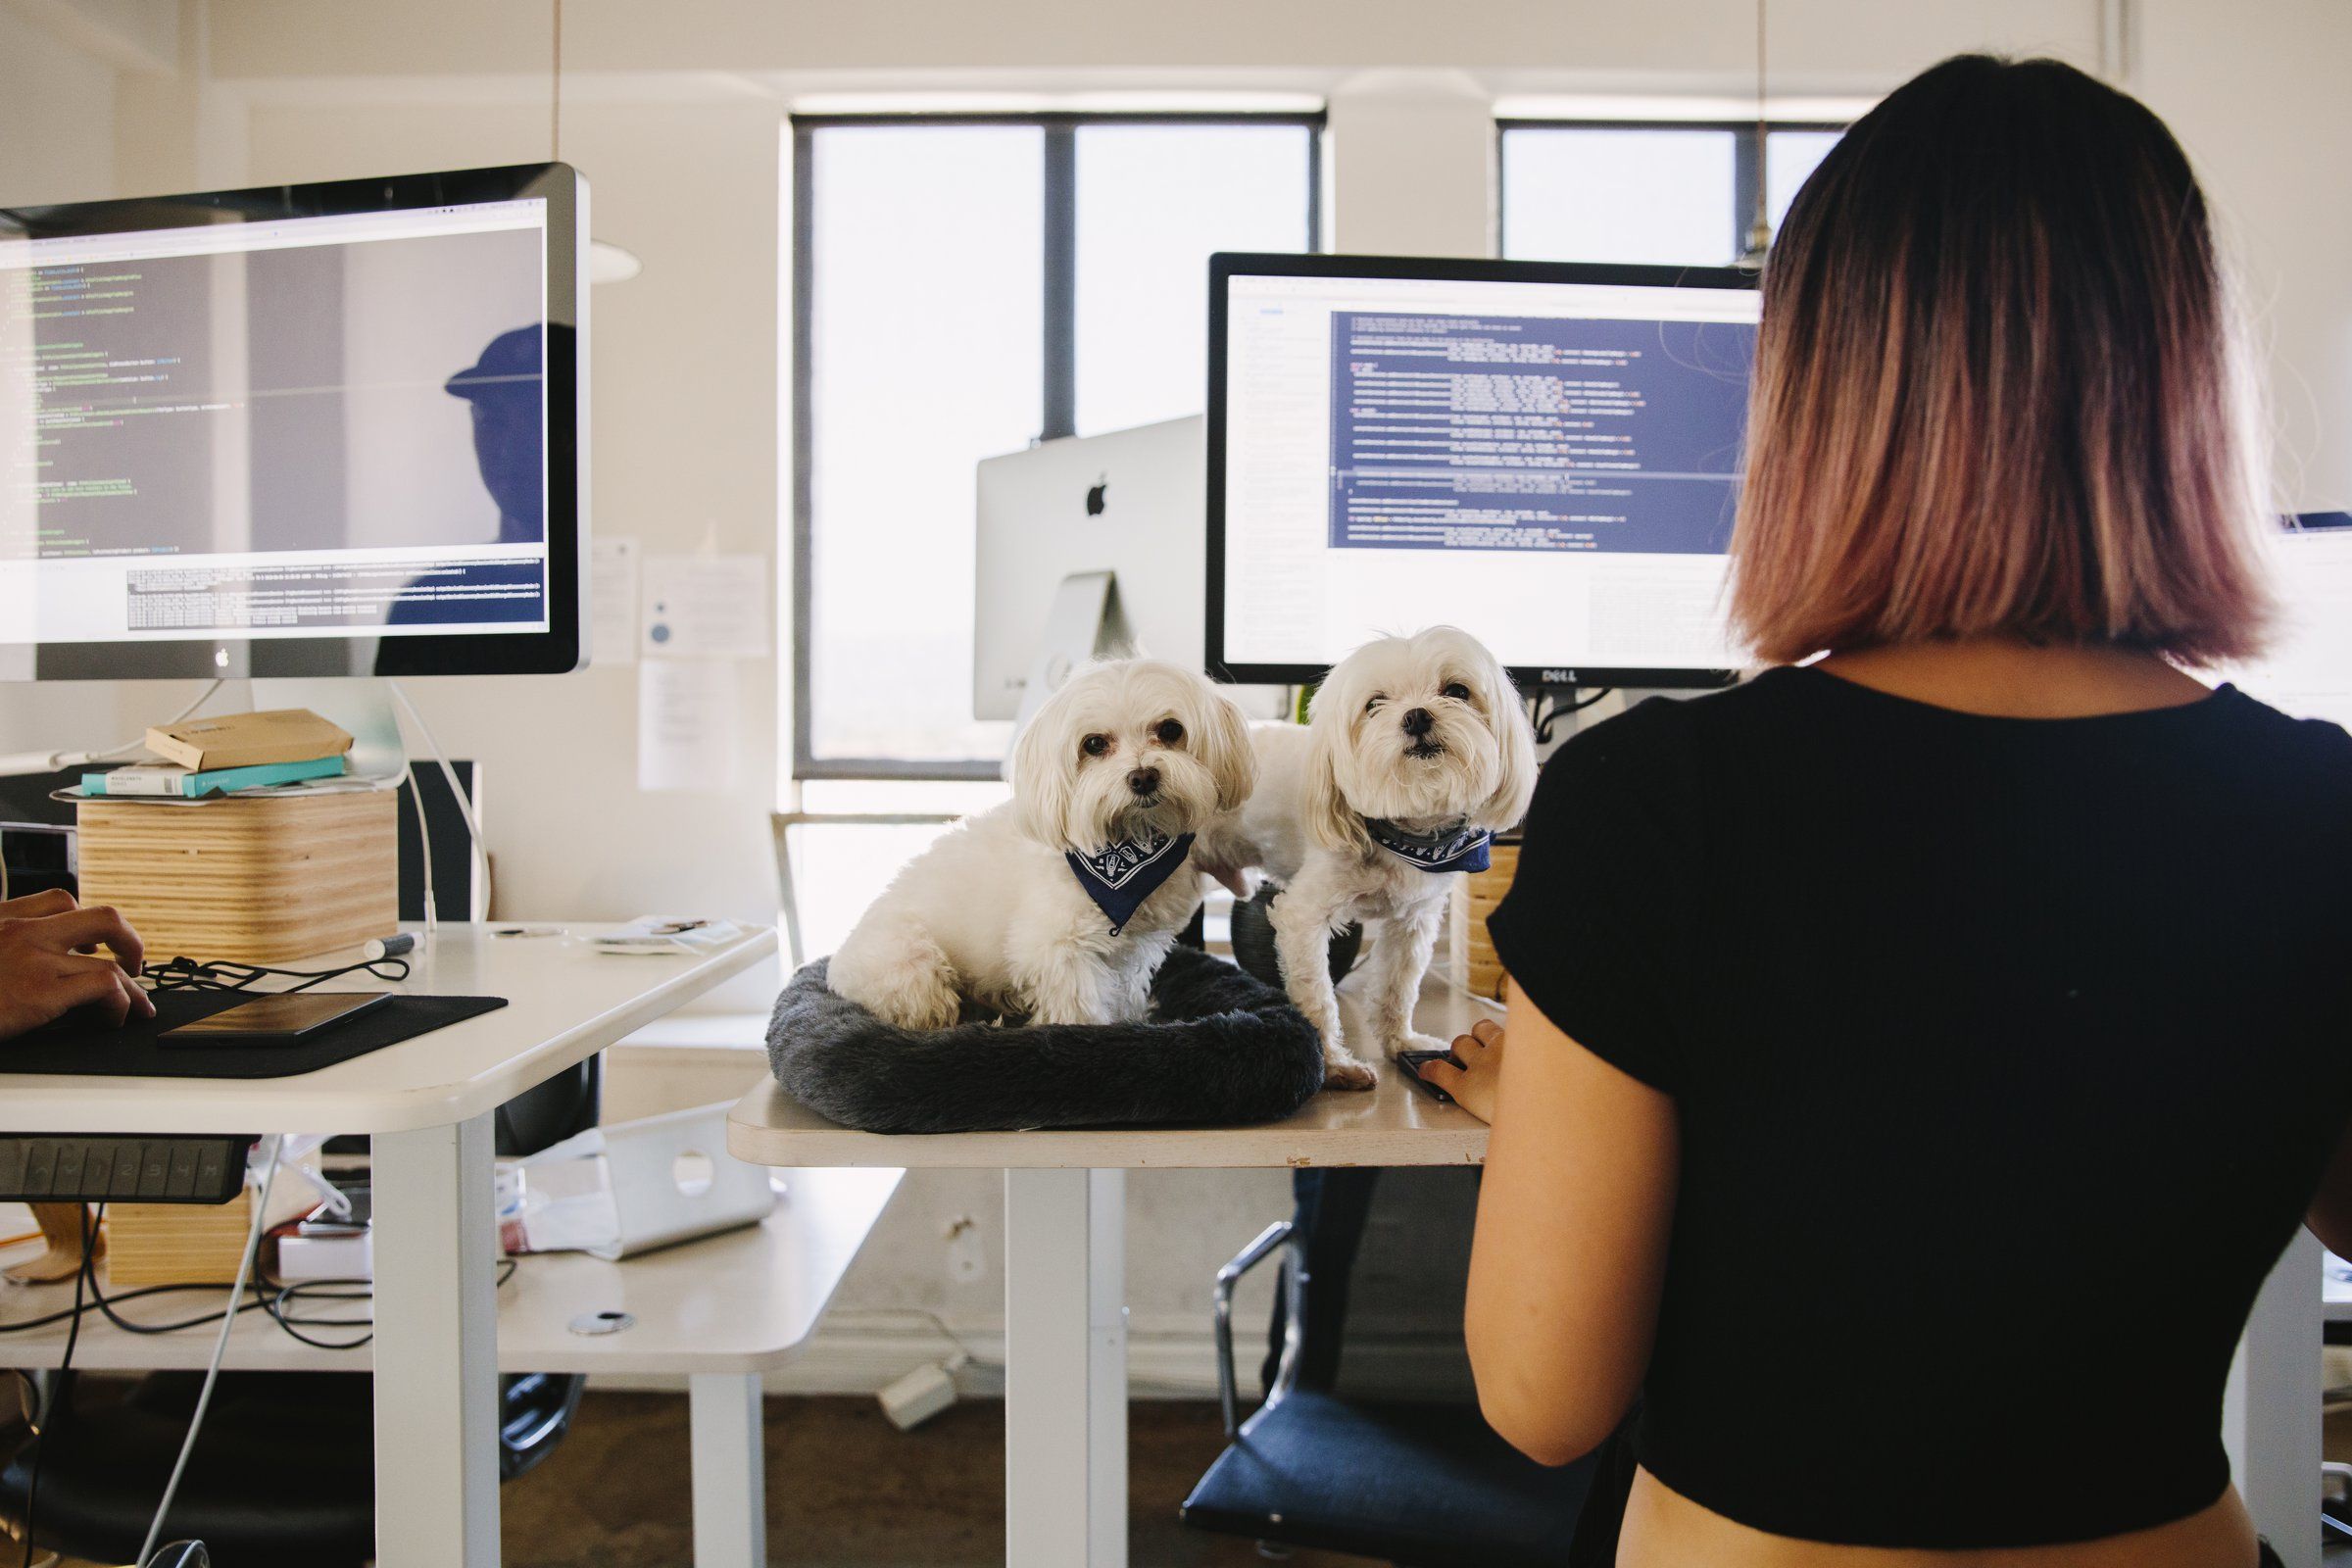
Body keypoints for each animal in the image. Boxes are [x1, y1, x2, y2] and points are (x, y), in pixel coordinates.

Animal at [823, 658, 1250, 1029]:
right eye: (1094, 744)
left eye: (1171, 730)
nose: (1143, 777)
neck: (1128, 849)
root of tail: (839, 965)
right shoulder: (1059, 951)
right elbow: (1080, 1008)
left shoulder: (1132, 950)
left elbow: (1125, 989)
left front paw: (1129, 1018)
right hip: (913, 966)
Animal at [1195, 625, 1543, 1091]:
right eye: (1374, 704)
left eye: (1457, 690)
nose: (1416, 716)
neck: (1405, 835)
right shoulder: (1303, 916)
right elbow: (1318, 997)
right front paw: (1333, 1065)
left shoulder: (1414, 920)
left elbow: (1398, 987)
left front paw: (1402, 1044)